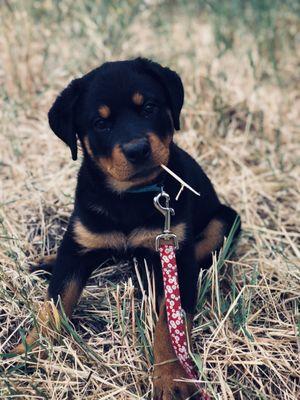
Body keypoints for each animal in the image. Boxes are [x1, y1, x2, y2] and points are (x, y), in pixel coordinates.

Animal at [14, 57, 240, 398]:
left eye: (148, 107)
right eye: (100, 123)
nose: (137, 149)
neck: (130, 195)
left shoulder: (176, 255)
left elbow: (169, 323)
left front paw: (171, 378)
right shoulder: (79, 244)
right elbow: (56, 300)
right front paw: (30, 346)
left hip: (225, 221)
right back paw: (46, 261)